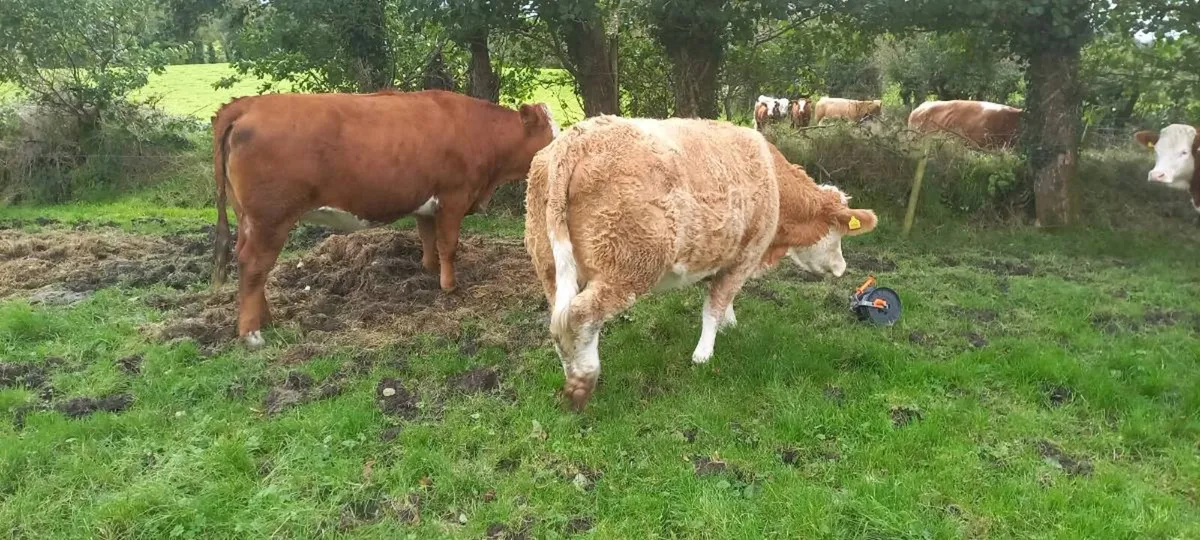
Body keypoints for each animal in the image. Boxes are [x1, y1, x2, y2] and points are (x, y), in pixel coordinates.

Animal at [211, 90, 558, 348]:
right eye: (552, 137)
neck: (479, 131)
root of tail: (249, 104)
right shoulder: (454, 198)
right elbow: (449, 245)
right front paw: (449, 287)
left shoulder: (426, 203)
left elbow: (428, 240)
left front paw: (429, 272)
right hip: (270, 220)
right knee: (253, 265)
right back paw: (252, 334)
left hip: (249, 219)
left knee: (249, 266)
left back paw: (265, 319)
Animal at [524, 115, 879, 411]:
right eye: (838, 234)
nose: (841, 267)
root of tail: (576, 140)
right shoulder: (746, 255)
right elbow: (715, 305)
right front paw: (703, 354)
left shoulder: (723, 254)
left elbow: (723, 298)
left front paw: (729, 324)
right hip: (627, 267)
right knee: (583, 316)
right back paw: (584, 380)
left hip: (551, 267)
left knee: (562, 322)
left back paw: (571, 369)